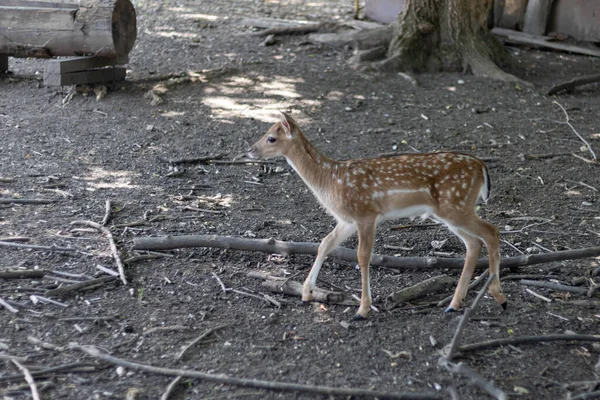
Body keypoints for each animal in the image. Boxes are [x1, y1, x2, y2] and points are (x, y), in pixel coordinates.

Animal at [248, 111, 506, 318]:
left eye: (271, 137)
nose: (250, 150)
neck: (330, 181)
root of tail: (481, 166)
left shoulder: (366, 214)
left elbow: (363, 257)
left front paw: (362, 310)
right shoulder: (346, 220)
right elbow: (324, 244)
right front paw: (306, 293)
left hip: (456, 205)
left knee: (491, 231)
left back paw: (499, 297)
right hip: (450, 211)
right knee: (474, 243)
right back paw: (454, 304)